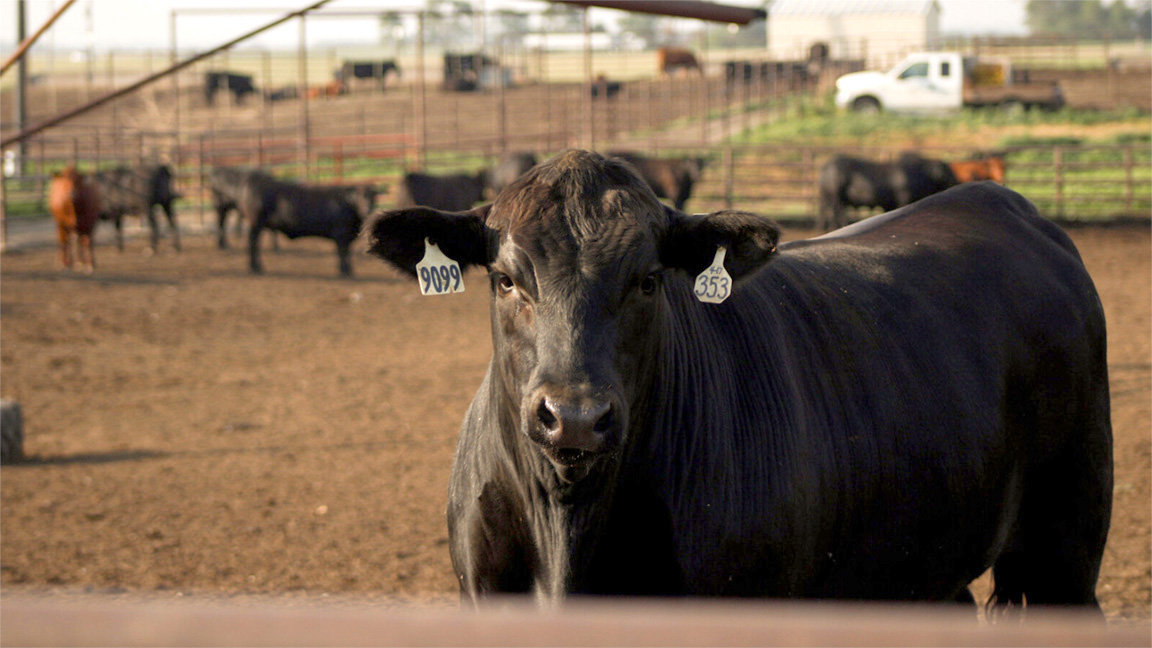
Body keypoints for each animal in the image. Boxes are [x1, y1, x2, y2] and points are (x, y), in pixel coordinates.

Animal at [817, 152, 959, 231]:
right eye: (947, 171)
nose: (956, 180)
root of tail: (826, 167)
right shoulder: (903, 198)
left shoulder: (888, 204)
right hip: (836, 196)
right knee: (837, 212)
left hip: (827, 196)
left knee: (825, 211)